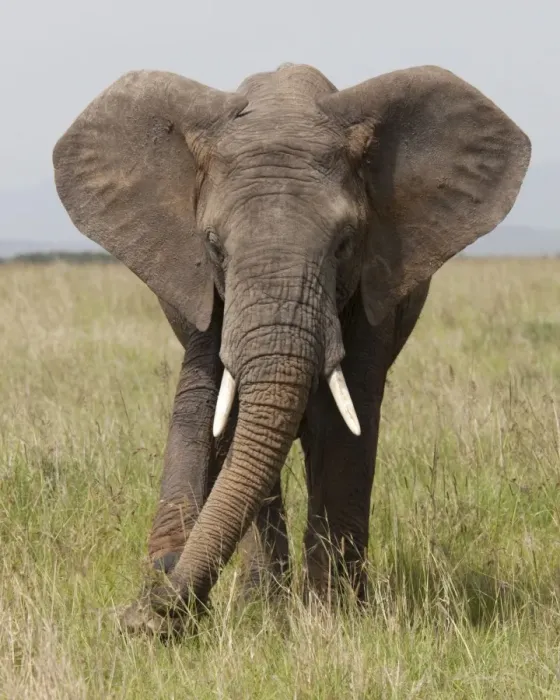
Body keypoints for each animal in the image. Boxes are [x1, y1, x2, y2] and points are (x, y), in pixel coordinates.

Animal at [52, 63, 530, 635]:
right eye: (213, 246)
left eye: (345, 243)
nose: (145, 609)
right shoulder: (201, 289)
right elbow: (211, 407)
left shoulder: (372, 283)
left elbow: (344, 422)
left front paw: (334, 620)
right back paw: (261, 602)